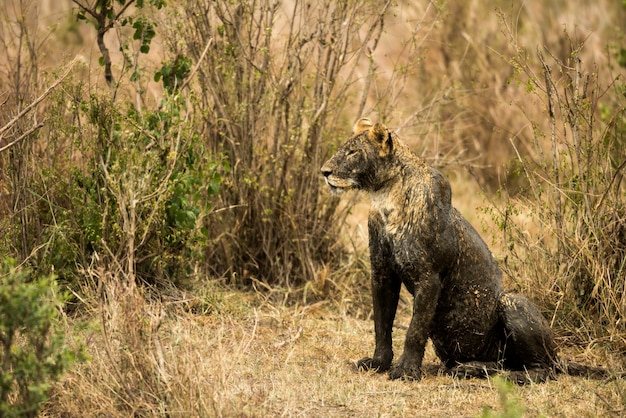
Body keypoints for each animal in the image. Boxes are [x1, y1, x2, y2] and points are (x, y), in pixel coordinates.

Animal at [320, 117, 560, 382]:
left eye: (353, 152)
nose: (324, 172)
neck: (385, 197)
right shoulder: (382, 273)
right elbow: (381, 324)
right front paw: (378, 362)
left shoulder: (429, 277)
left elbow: (415, 329)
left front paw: (406, 370)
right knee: (502, 363)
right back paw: (470, 368)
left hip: (514, 302)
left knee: (543, 369)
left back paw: (509, 376)